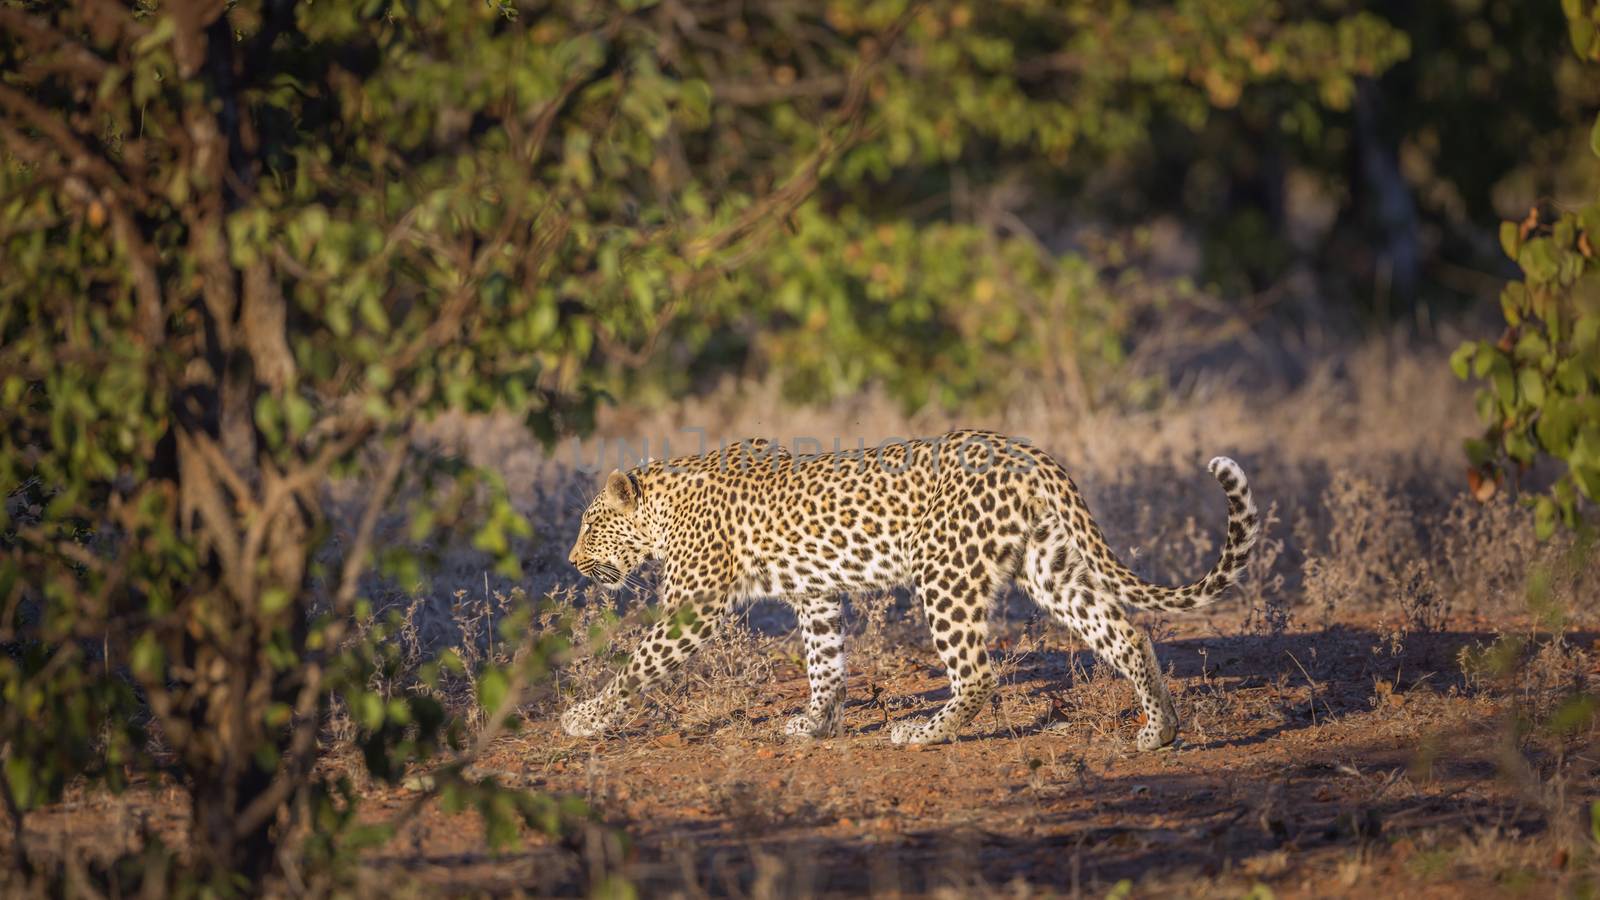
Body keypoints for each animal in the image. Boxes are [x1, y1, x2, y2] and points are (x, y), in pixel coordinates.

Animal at [556, 432, 1254, 746]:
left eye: (590, 524)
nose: (571, 559)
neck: (662, 505)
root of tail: (1025, 452)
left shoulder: (692, 606)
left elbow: (636, 664)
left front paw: (585, 718)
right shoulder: (816, 595)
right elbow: (825, 665)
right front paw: (814, 725)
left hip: (945, 573)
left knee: (977, 673)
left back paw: (924, 732)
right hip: (1048, 567)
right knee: (1126, 632)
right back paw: (1159, 731)